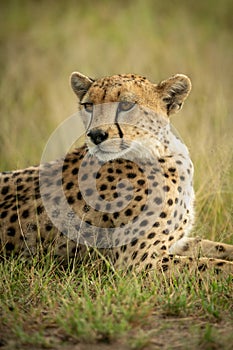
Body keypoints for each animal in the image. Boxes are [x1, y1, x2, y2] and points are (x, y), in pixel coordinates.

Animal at [0, 72, 233, 274]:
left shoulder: (177, 242)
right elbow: (214, 266)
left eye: (126, 104)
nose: (96, 135)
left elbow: (217, 249)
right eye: (89, 106)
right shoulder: (138, 262)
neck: (160, 151)